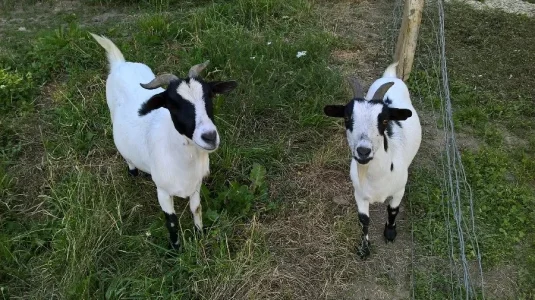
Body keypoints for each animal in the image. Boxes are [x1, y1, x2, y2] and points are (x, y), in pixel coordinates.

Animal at [91, 32, 238, 250]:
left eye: (209, 96)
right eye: (173, 104)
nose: (210, 136)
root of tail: (120, 64)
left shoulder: (196, 185)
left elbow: (197, 209)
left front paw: (199, 234)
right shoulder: (163, 191)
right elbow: (171, 221)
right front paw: (176, 249)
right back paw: (133, 172)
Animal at [322, 63, 422, 258]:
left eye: (384, 120)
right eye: (347, 118)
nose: (363, 151)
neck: (377, 178)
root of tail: (391, 76)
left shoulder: (399, 190)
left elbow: (393, 210)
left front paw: (390, 234)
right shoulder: (359, 194)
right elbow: (364, 220)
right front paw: (364, 248)